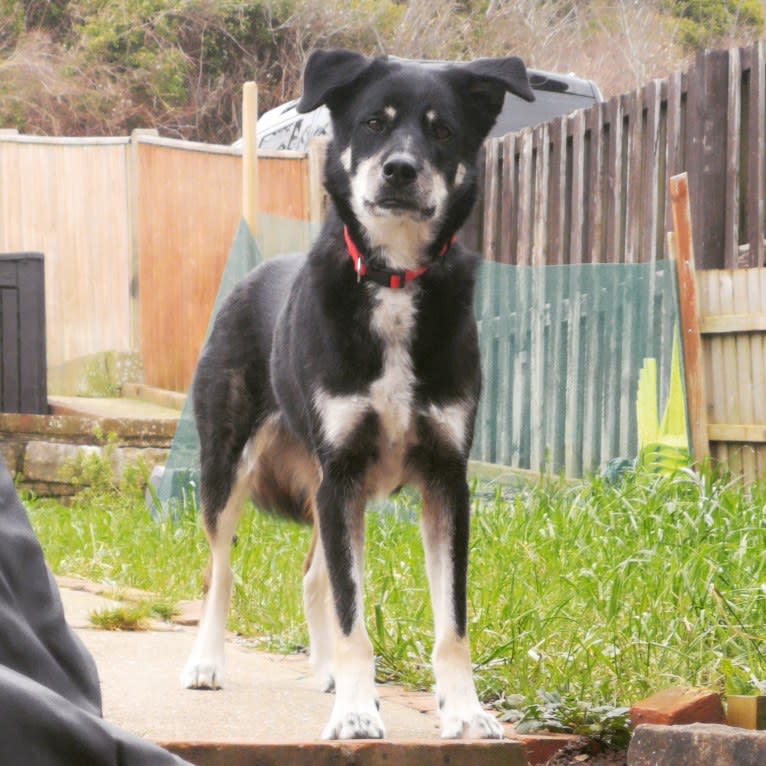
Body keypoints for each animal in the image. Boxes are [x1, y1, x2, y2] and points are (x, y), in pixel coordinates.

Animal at [183, 49, 536, 744]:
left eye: (442, 130)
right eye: (375, 122)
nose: (400, 169)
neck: (393, 278)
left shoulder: (443, 481)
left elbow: (450, 622)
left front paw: (464, 711)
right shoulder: (342, 476)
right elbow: (353, 616)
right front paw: (353, 711)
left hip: (324, 489)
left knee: (315, 576)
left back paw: (326, 672)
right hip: (228, 468)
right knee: (221, 570)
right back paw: (208, 662)